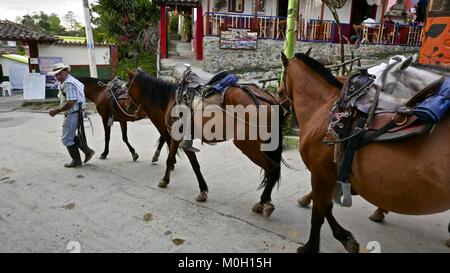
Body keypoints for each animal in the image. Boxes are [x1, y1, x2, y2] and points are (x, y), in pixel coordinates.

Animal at [125, 70, 284, 217]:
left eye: (127, 86)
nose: (127, 107)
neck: (171, 99)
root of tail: (269, 99)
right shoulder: (181, 140)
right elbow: (184, 162)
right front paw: (200, 189)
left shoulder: (179, 138)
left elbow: (181, 162)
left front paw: (166, 181)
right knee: (273, 169)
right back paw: (265, 202)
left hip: (247, 144)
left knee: (273, 168)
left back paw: (262, 202)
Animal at [280, 51, 448, 251]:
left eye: (280, 89)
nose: (280, 106)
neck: (322, 109)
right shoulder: (328, 176)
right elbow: (326, 207)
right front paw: (346, 238)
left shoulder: (321, 175)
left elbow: (319, 213)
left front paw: (311, 246)